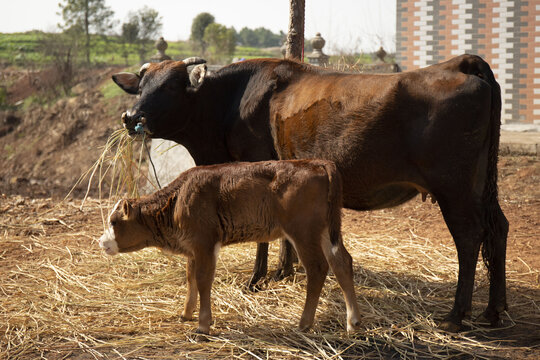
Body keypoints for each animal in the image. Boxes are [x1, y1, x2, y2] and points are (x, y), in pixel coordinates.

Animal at [99, 160, 362, 334]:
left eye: (114, 221)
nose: (101, 242)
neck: (177, 201)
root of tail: (316, 163)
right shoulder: (192, 247)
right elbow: (191, 278)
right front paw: (186, 314)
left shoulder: (205, 243)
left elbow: (203, 280)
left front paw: (203, 325)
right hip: (326, 231)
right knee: (342, 262)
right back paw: (353, 321)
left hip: (303, 232)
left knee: (318, 268)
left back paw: (304, 323)